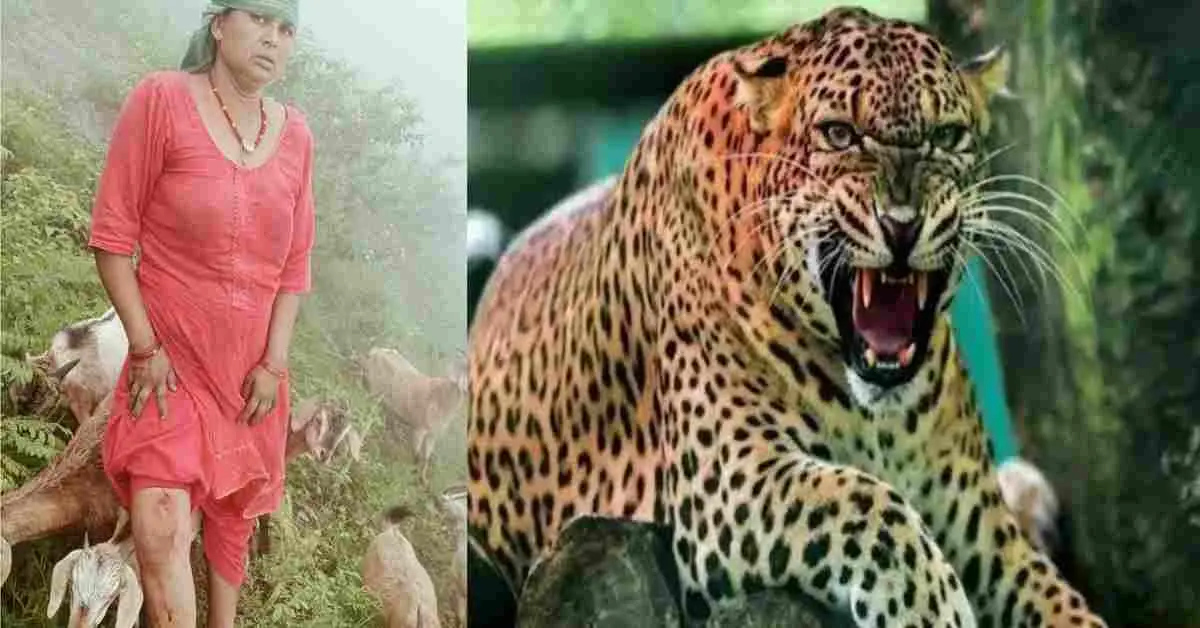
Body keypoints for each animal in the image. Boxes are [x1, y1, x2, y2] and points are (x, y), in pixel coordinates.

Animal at [467, 6, 1107, 627]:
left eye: (947, 136)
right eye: (840, 134)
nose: (903, 223)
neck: (881, 418)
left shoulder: (986, 535)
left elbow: (1060, 600)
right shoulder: (726, 479)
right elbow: (868, 504)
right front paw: (935, 612)